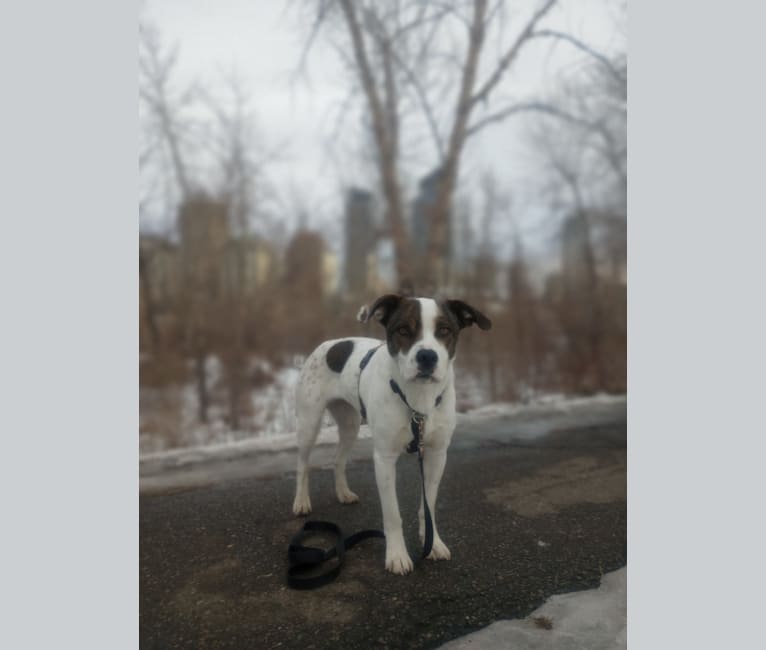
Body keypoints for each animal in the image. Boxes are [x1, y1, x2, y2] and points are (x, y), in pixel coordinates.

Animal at [292, 294, 496, 572]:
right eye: (403, 330)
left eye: (445, 330)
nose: (427, 357)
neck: (419, 400)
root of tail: (328, 344)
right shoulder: (385, 459)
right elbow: (392, 514)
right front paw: (397, 555)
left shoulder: (436, 455)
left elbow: (428, 505)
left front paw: (432, 543)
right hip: (309, 422)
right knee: (303, 464)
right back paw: (301, 501)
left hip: (350, 424)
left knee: (339, 459)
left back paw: (343, 492)